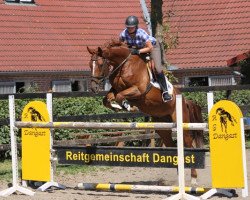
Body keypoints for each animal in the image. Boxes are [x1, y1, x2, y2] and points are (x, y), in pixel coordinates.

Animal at [87, 41, 204, 186]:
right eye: (89, 65)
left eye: (100, 64)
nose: (93, 88)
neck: (124, 65)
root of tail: (184, 100)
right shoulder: (115, 90)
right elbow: (107, 99)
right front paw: (119, 107)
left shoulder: (138, 90)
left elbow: (120, 96)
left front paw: (129, 107)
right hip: (162, 127)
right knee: (172, 146)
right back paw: (178, 175)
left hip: (183, 124)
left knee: (188, 145)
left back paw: (193, 178)